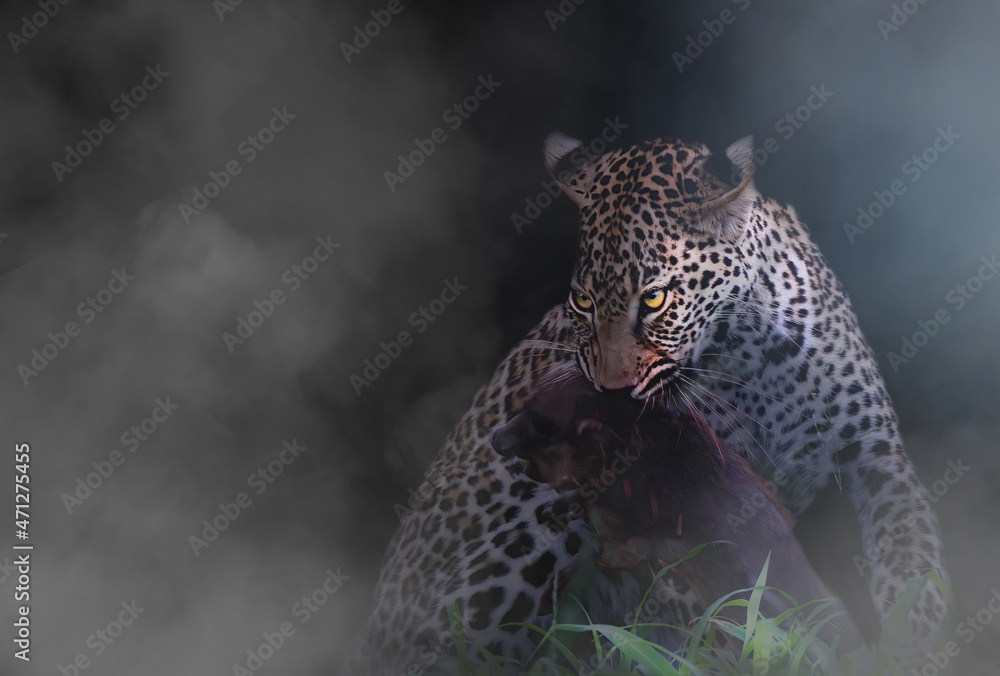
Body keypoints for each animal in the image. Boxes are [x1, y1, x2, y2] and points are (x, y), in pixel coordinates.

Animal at [358, 132, 950, 674]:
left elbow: (916, 571)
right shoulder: (691, 488)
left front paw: (916, 649)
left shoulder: (878, 458)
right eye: (582, 301)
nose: (610, 391)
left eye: (655, 298)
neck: (753, 353)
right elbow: (711, 604)